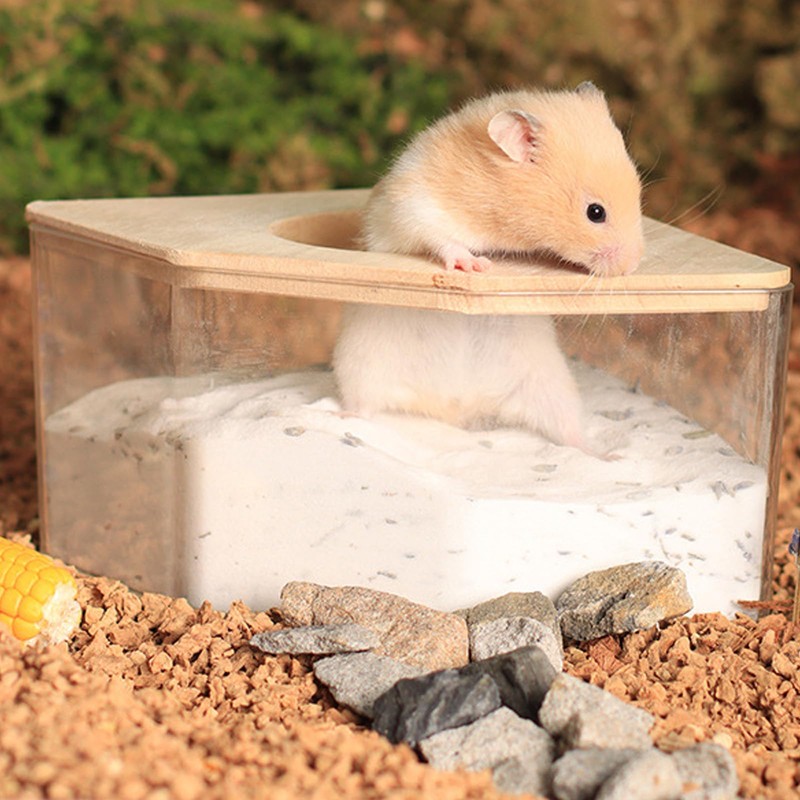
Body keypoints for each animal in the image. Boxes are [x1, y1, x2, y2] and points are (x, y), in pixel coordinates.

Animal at [333, 83, 644, 450]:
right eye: (595, 213)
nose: (632, 266)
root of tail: (456, 408)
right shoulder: (412, 204)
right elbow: (438, 237)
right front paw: (474, 265)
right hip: (360, 364)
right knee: (362, 406)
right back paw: (338, 418)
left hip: (550, 385)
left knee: (569, 431)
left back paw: (603, 454)